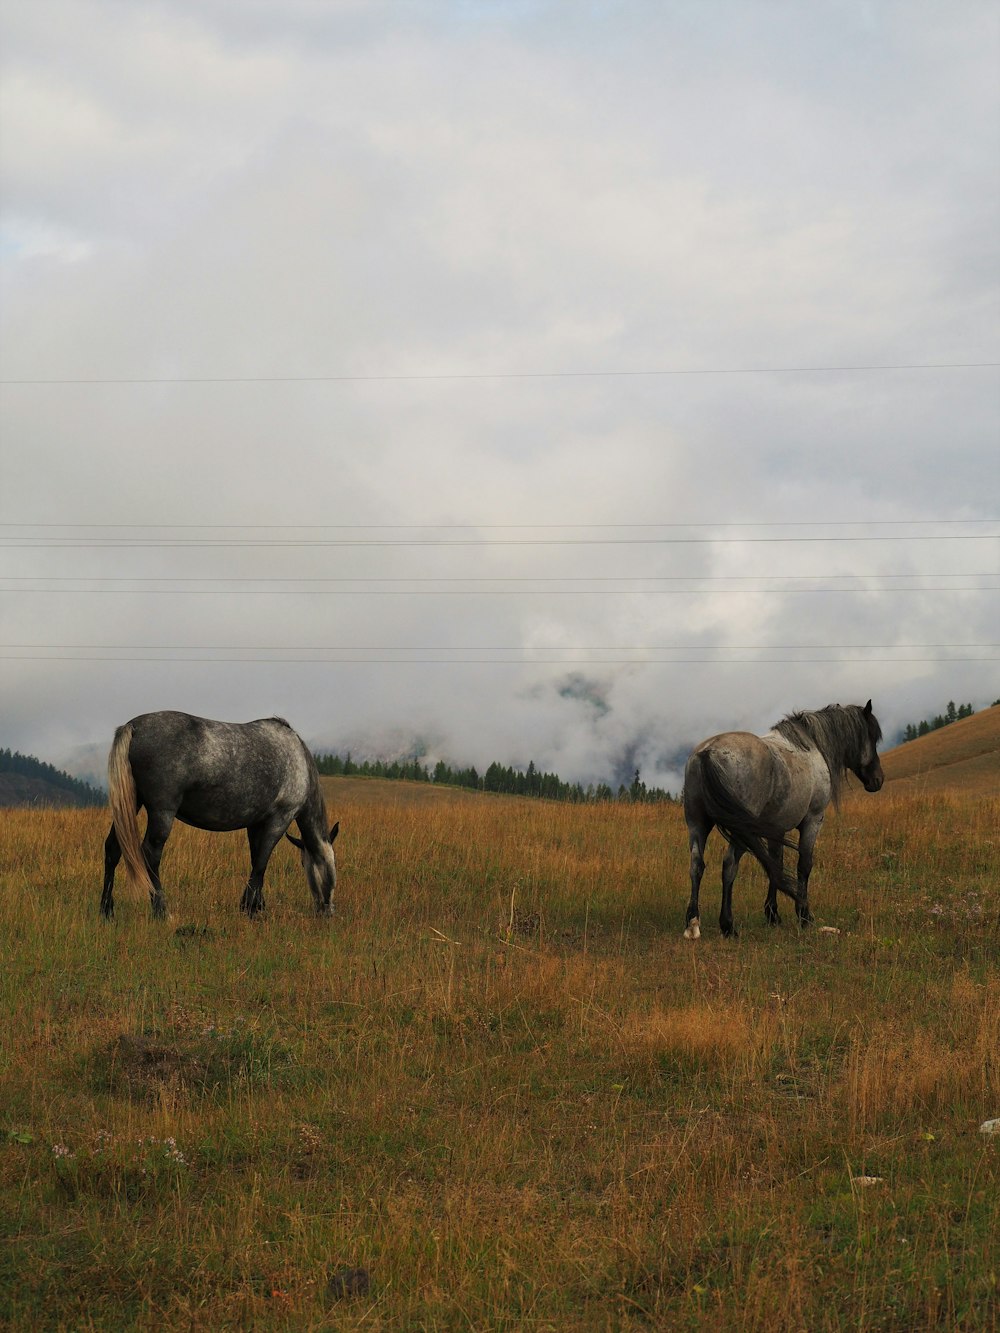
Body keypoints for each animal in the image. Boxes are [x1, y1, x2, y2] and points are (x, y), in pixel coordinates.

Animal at [100, 714, 341, 922]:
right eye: (330, 866)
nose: (328, 911)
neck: (298, 759)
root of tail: (133, 727)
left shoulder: (255, 823)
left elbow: (256, 860)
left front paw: (257, 906)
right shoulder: (280, 818)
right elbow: (262, 862)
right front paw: (249, 908)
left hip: (131, 804)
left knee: (113, 848)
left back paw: (106, 911)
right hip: (162, 813)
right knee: (151, 854)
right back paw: (161, 911)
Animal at [682, 698, 885, 938]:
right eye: (872, 737)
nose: (878, 780)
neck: (812, 747)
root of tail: (708, 753)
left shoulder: (776, 830)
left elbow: (775, 864)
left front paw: (773, 914)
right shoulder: (813, 821)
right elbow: (804, 865)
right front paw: (804, 915)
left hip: (698, 824)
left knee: (696, 865)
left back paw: (693, 924)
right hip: (739, 832)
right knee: (729, 865)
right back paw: (728, 925)